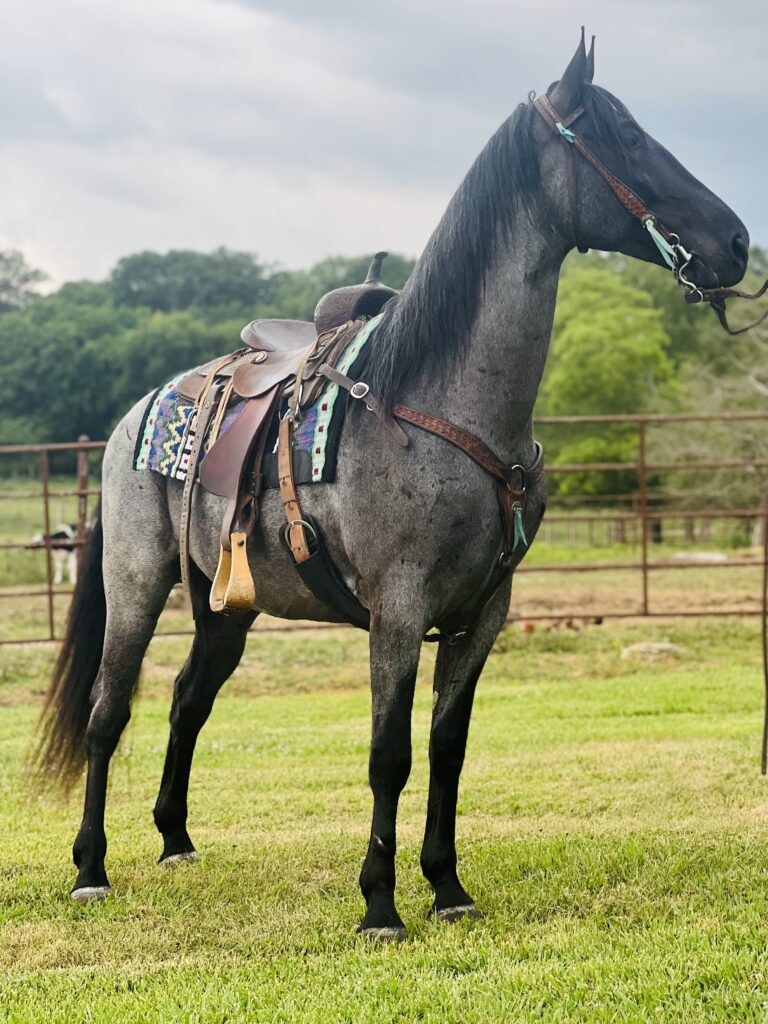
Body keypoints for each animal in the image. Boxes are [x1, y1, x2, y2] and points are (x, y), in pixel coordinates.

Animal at [37, 32, 749, 941]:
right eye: (623, 133)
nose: (737, 240)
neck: (437, 406)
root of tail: (136, 414)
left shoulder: (484, 612)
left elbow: (448, 748)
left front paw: (446, 885)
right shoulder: (400, 610)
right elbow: (390, 754)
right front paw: (379, 902)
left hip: (224, 606)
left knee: (188, 701)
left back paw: (176, 840)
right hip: (136, 581)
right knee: (107, 713)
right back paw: (90, 867)